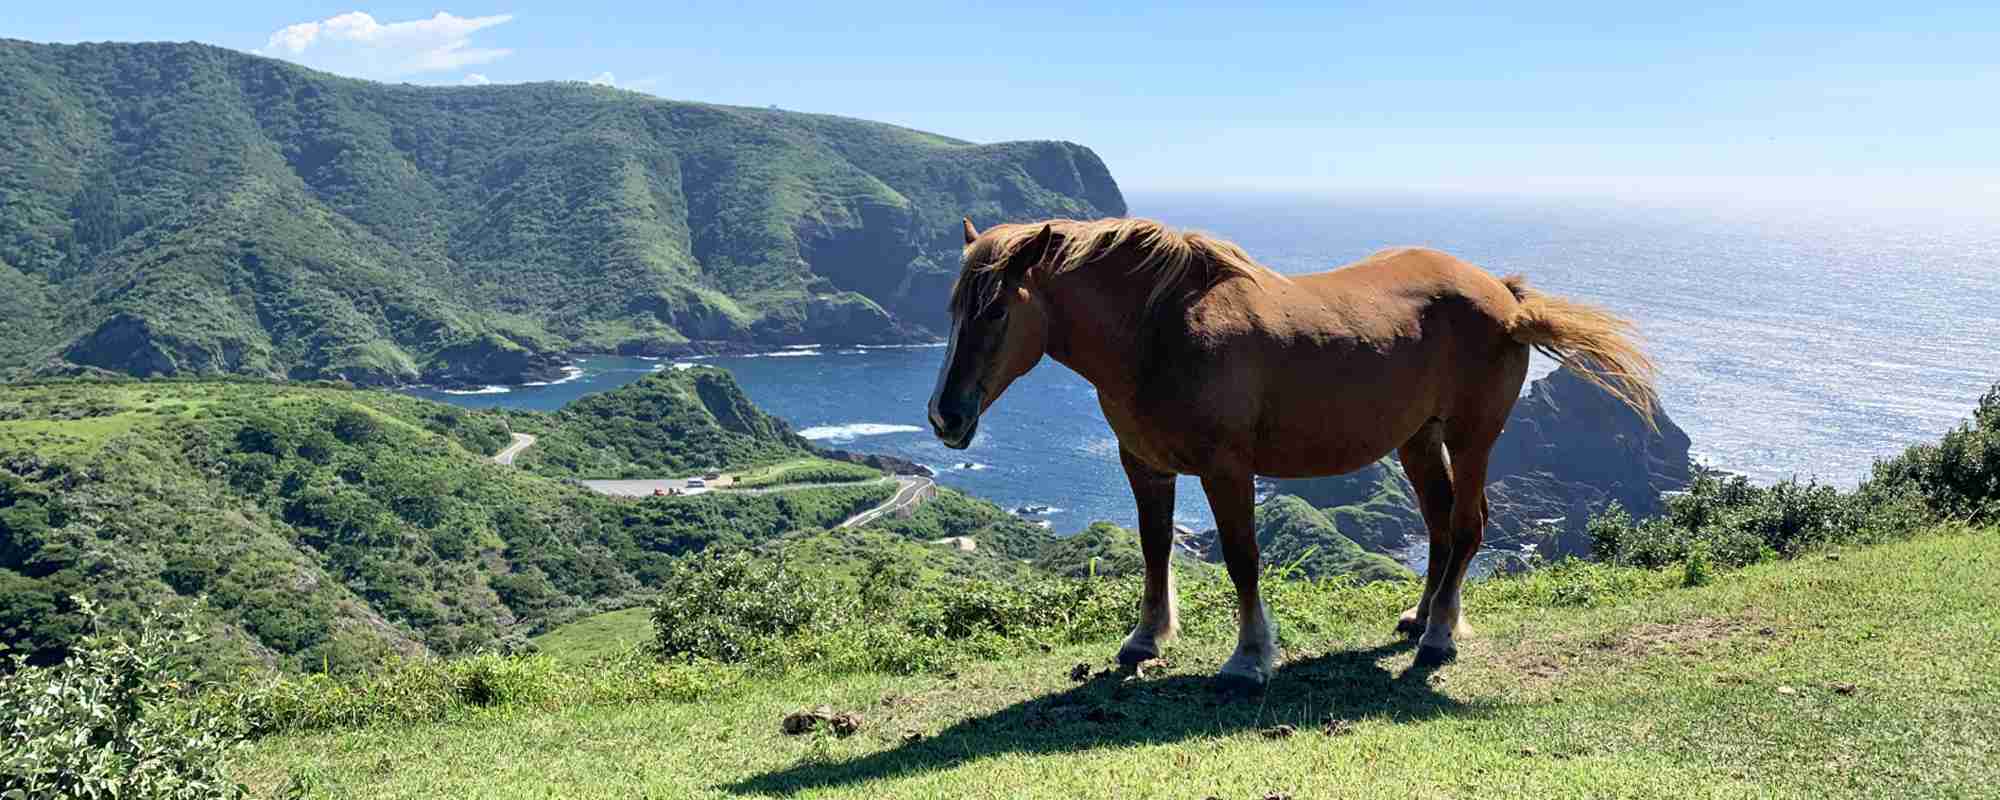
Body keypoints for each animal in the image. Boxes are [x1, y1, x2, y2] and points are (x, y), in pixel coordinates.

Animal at [924, 216, 1656, 692]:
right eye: (952, 309)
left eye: (996, 312)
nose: (944, 416)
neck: (1158, 330)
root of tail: (1506, 295)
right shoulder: (1145, 465)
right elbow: (1155, 550)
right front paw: (1145, 639)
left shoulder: (1226, 469)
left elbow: (1242, 558)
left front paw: (1250, 657)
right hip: (1418, 440)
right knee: (1442, 527)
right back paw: (1421, 617)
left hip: (1471, 435)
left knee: (1470, 526)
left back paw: (1440, 636)